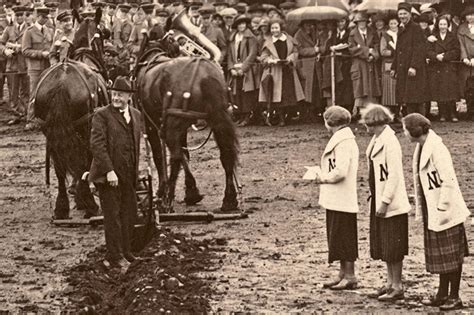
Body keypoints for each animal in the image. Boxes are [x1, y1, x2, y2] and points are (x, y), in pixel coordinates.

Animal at [34, 8, 108, 220]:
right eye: (103, 34)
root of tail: (61, 83)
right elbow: (86, 160)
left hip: (51, 132)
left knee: (59, 166)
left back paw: (61, 207)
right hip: (83, 127)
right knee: (82, 160)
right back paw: (90, 204)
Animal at [136, 42, 241, 215]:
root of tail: (205, 75)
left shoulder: (151, 125)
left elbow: (160, 157)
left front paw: (163, 190)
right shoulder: (181, 127)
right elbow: (185, 153)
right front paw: (191, 191)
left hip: (173, 125)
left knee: (175, 157)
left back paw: (166, 201)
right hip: (217, 120)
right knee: (226, 155)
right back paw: (229, 200)